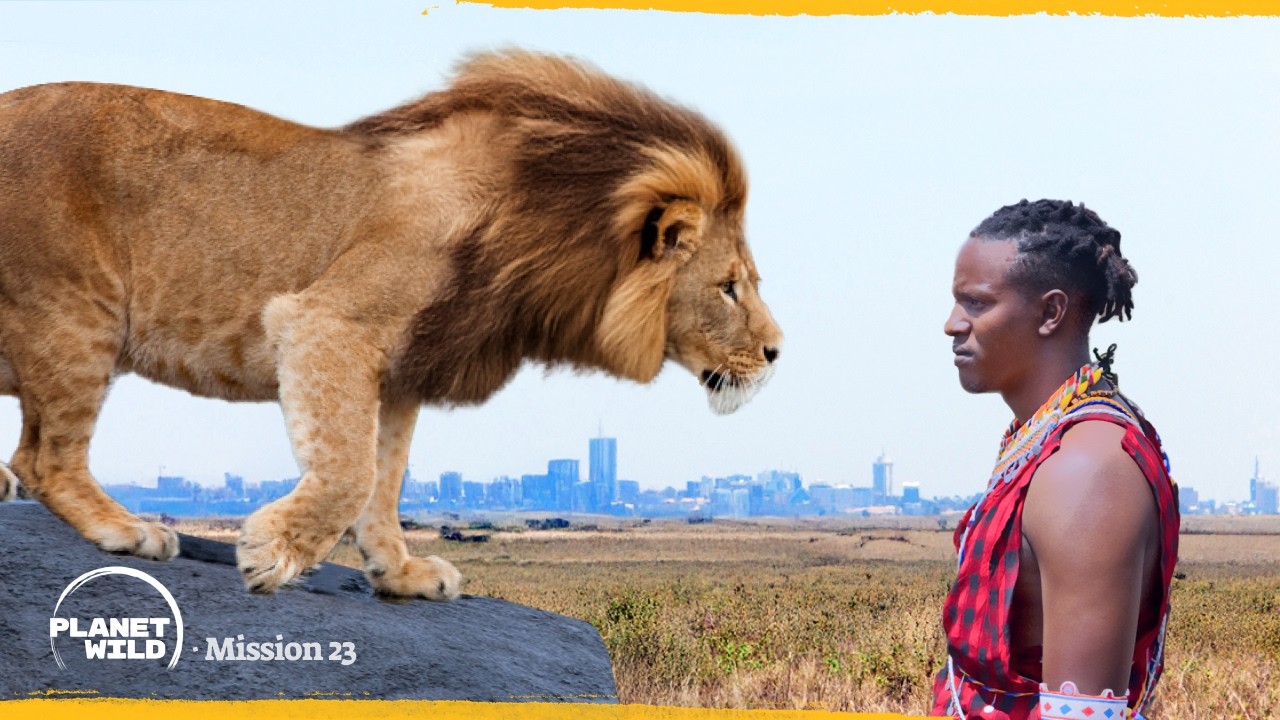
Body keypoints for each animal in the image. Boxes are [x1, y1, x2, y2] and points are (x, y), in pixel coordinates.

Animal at [0, 50, 782, 598]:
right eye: (729, 288)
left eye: (748, 283)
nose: (778, 352)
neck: (548, 222)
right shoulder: (328, 324)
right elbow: (349, 471)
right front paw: (269, 554)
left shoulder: (401, 371)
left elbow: (384, 480)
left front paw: (399, 574)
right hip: (78, 313)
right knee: (45, 459)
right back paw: (128, 530)